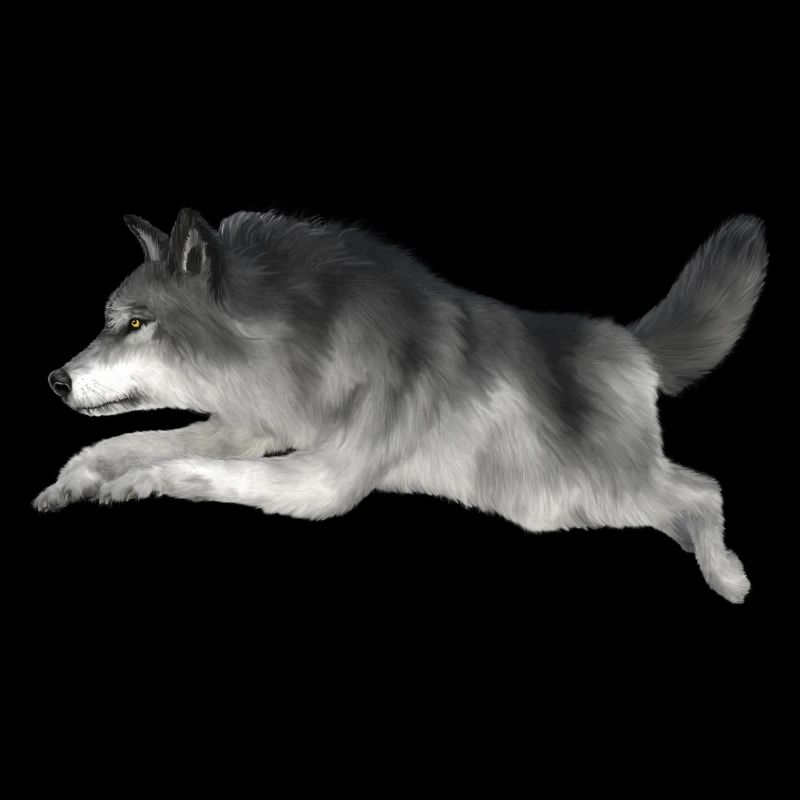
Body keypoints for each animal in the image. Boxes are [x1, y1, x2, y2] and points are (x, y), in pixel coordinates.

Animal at [33, 208, 767, 603]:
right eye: (110, 321)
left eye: (136, 323)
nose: (54, 380)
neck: (304, 339)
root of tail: (632, 343)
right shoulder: (250, 428)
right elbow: (128, 443)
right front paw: (72, 482)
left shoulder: (323, 481)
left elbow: (192, 470)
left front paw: (131, 486)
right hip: (574, 503)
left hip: (589, 494)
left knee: (703, 489)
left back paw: (729, 577)